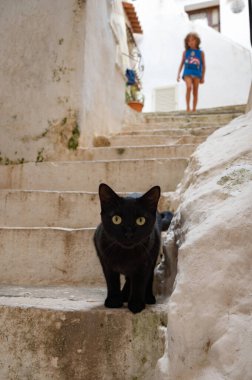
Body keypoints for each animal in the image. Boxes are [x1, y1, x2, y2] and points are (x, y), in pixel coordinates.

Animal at [93, 184, 172, 314]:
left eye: (140, 220)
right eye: (116, 219)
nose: (129, 234)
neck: (125, 254)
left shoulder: (144, 263)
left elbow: (139, 283)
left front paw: (136, 304)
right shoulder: (105, 261)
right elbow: (112, 281)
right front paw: (114, 301)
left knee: (148, 277)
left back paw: (148, 297)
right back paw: (124, 295)